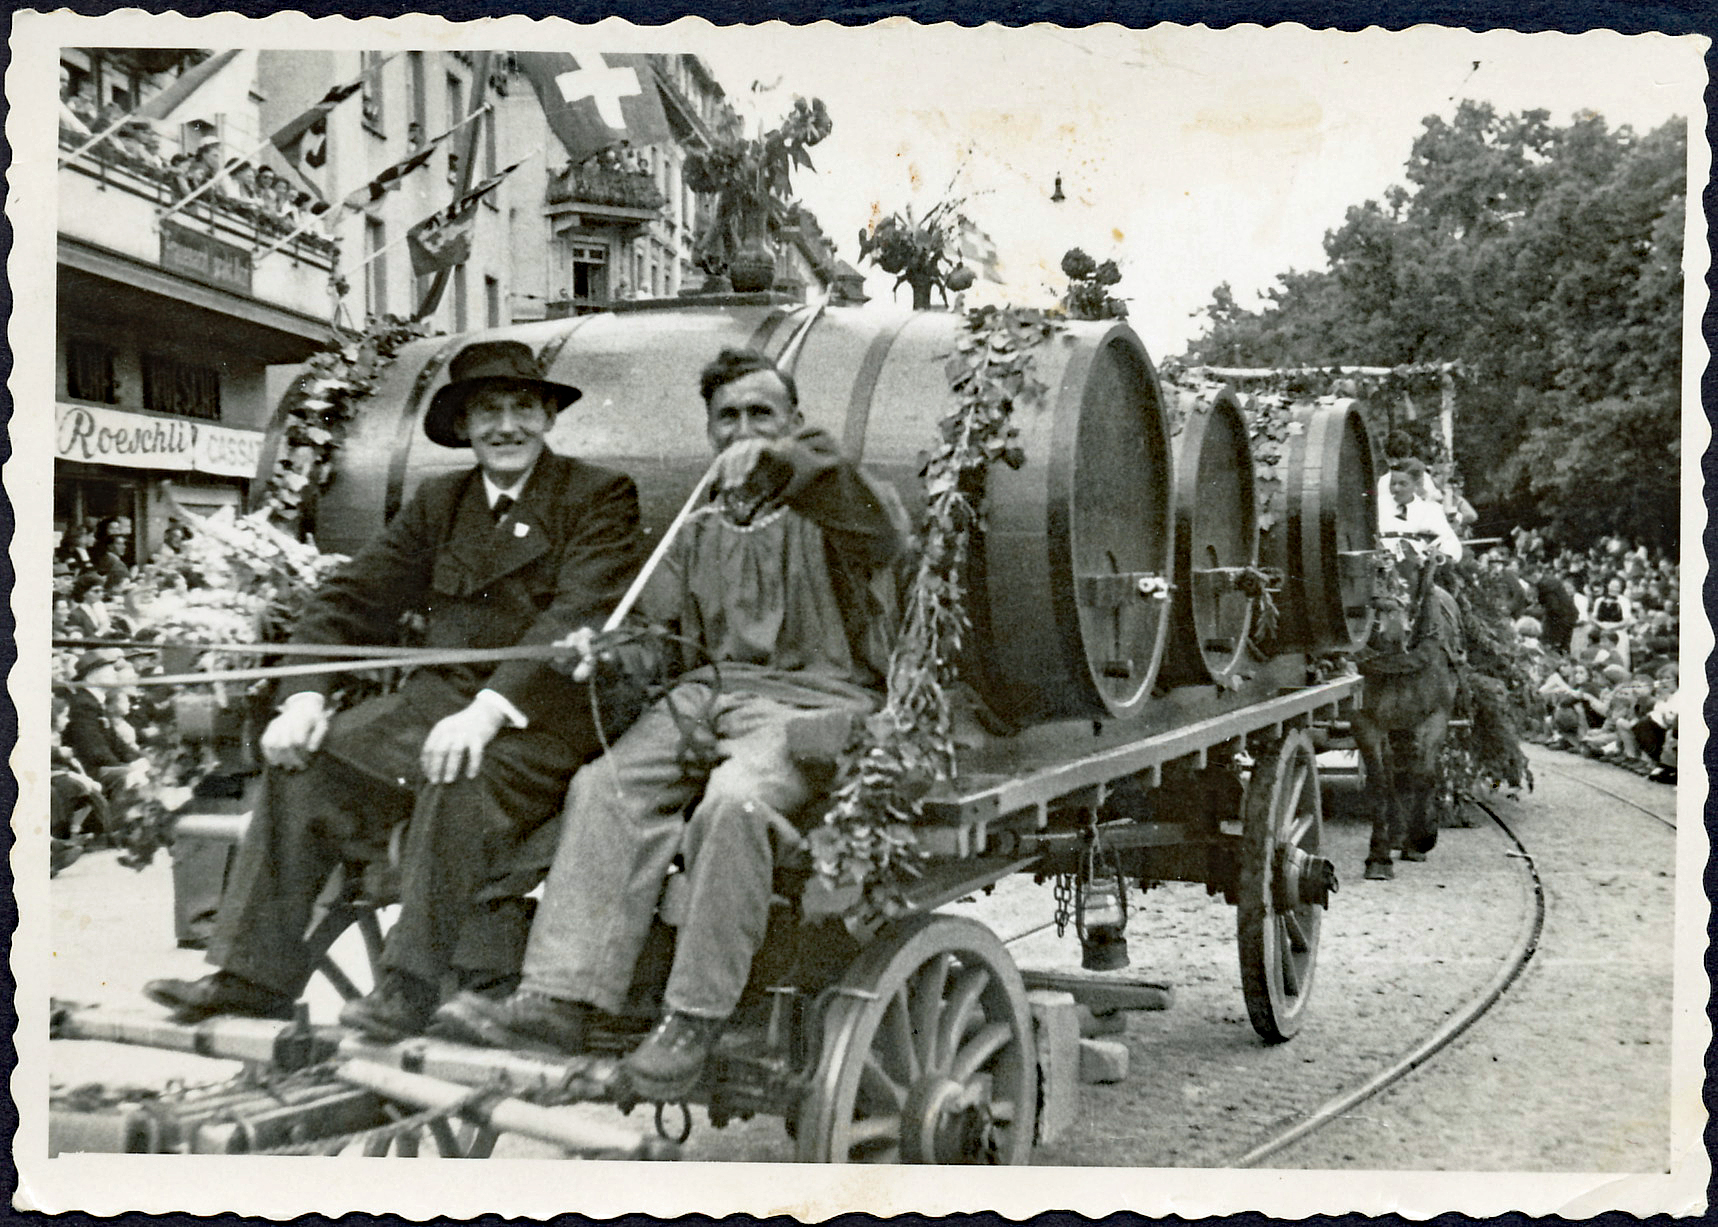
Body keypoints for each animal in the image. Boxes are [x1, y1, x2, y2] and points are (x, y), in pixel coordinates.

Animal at [1353, 536, 1463, 879]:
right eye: (1374, 567)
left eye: (1417, 567)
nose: (1391, 631)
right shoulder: (1365, 720)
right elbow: (1379, 780)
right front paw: (1379, 856)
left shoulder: (1436, 716)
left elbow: (1423, 773)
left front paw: (1422, 838)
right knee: (1393, 771)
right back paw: (1396, 834)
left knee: (1409, 768)